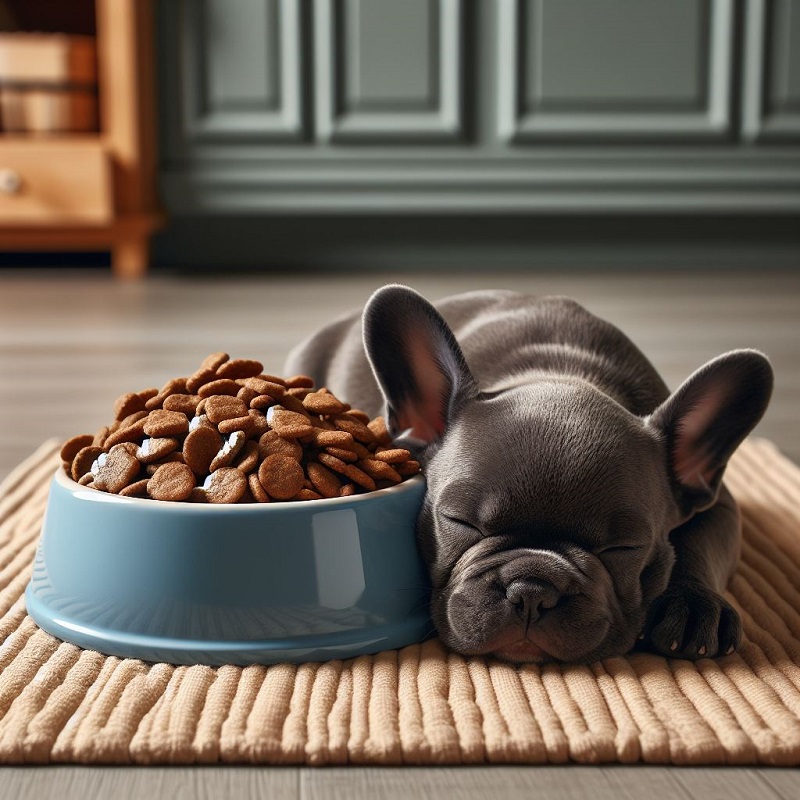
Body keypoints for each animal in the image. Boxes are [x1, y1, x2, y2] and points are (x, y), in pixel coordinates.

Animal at [284, 286, 772, 664]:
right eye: (460, 522)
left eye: (624, 548)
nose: (532, 590)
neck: (563, 372)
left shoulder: (721, 505)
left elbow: (699, 543)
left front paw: (695, 607)